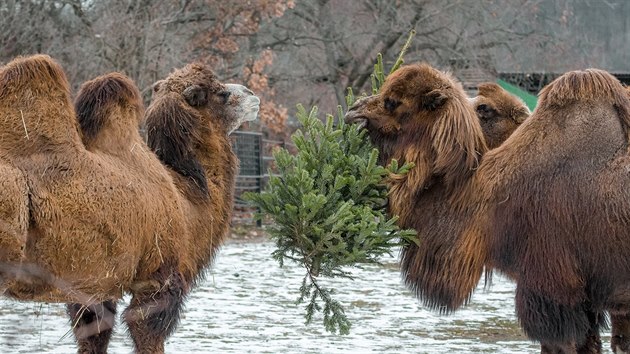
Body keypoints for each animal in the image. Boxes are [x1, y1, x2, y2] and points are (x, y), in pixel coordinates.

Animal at [0, 54, 260, 352]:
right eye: (221, 93)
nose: (252, 94)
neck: (188, 201)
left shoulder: (94, 286)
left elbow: (94, 334)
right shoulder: (159, 278)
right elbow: (146, 333)